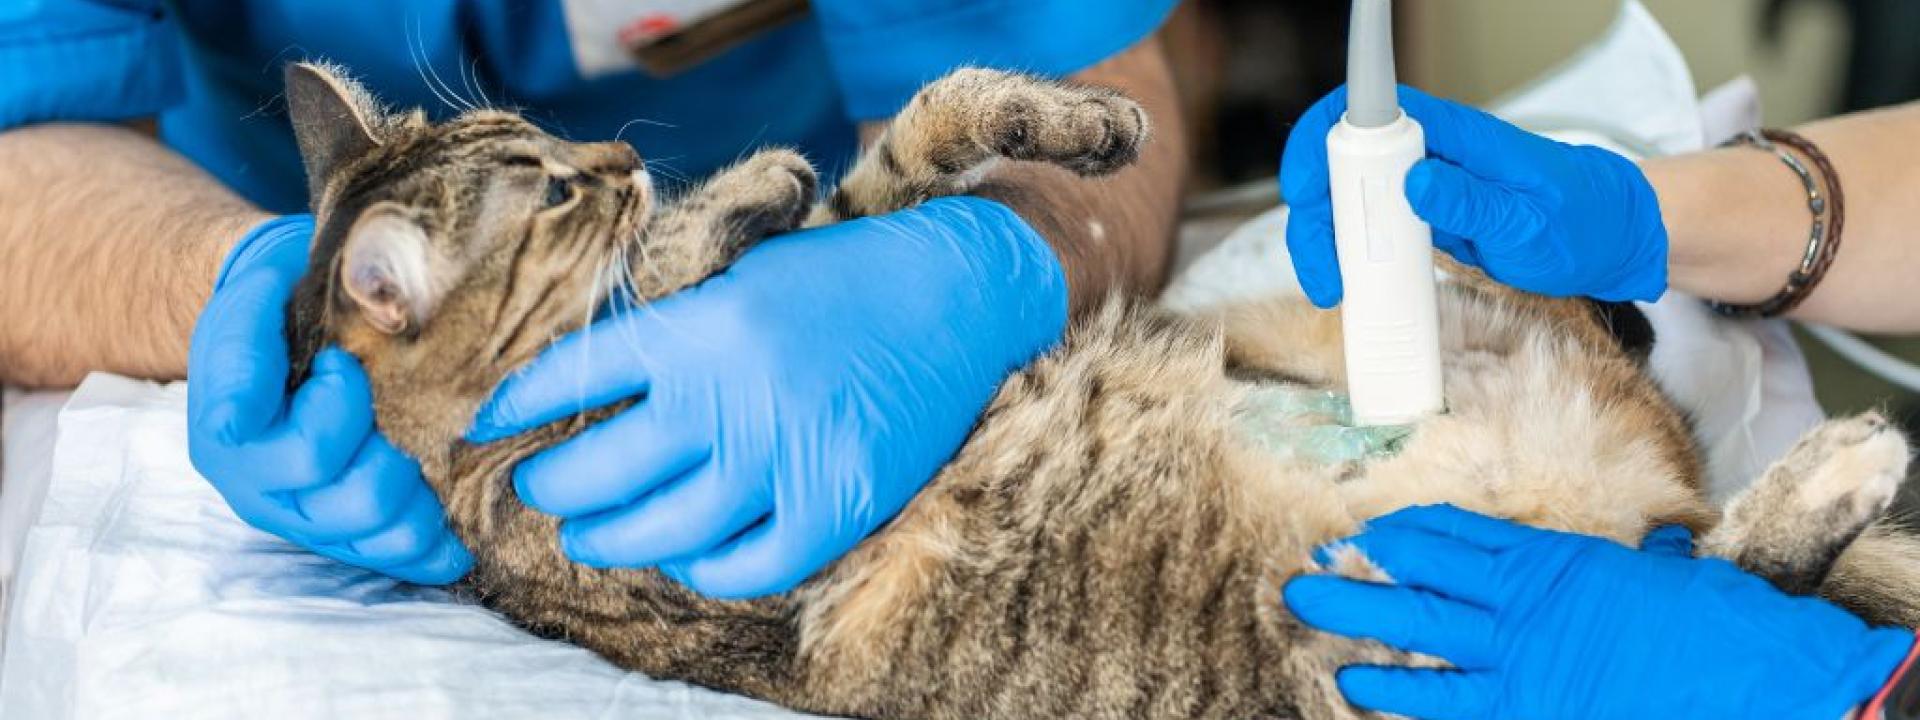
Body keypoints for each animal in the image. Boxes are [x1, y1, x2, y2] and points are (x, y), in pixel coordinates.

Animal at [278, 61, 1912, 720]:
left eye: (541, 135)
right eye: (550, 185)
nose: (614, 154)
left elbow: (907, 149)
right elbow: (750, 240)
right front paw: (720, 204)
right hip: (1392, 643)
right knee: (1713, 578)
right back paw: (1820, 483)